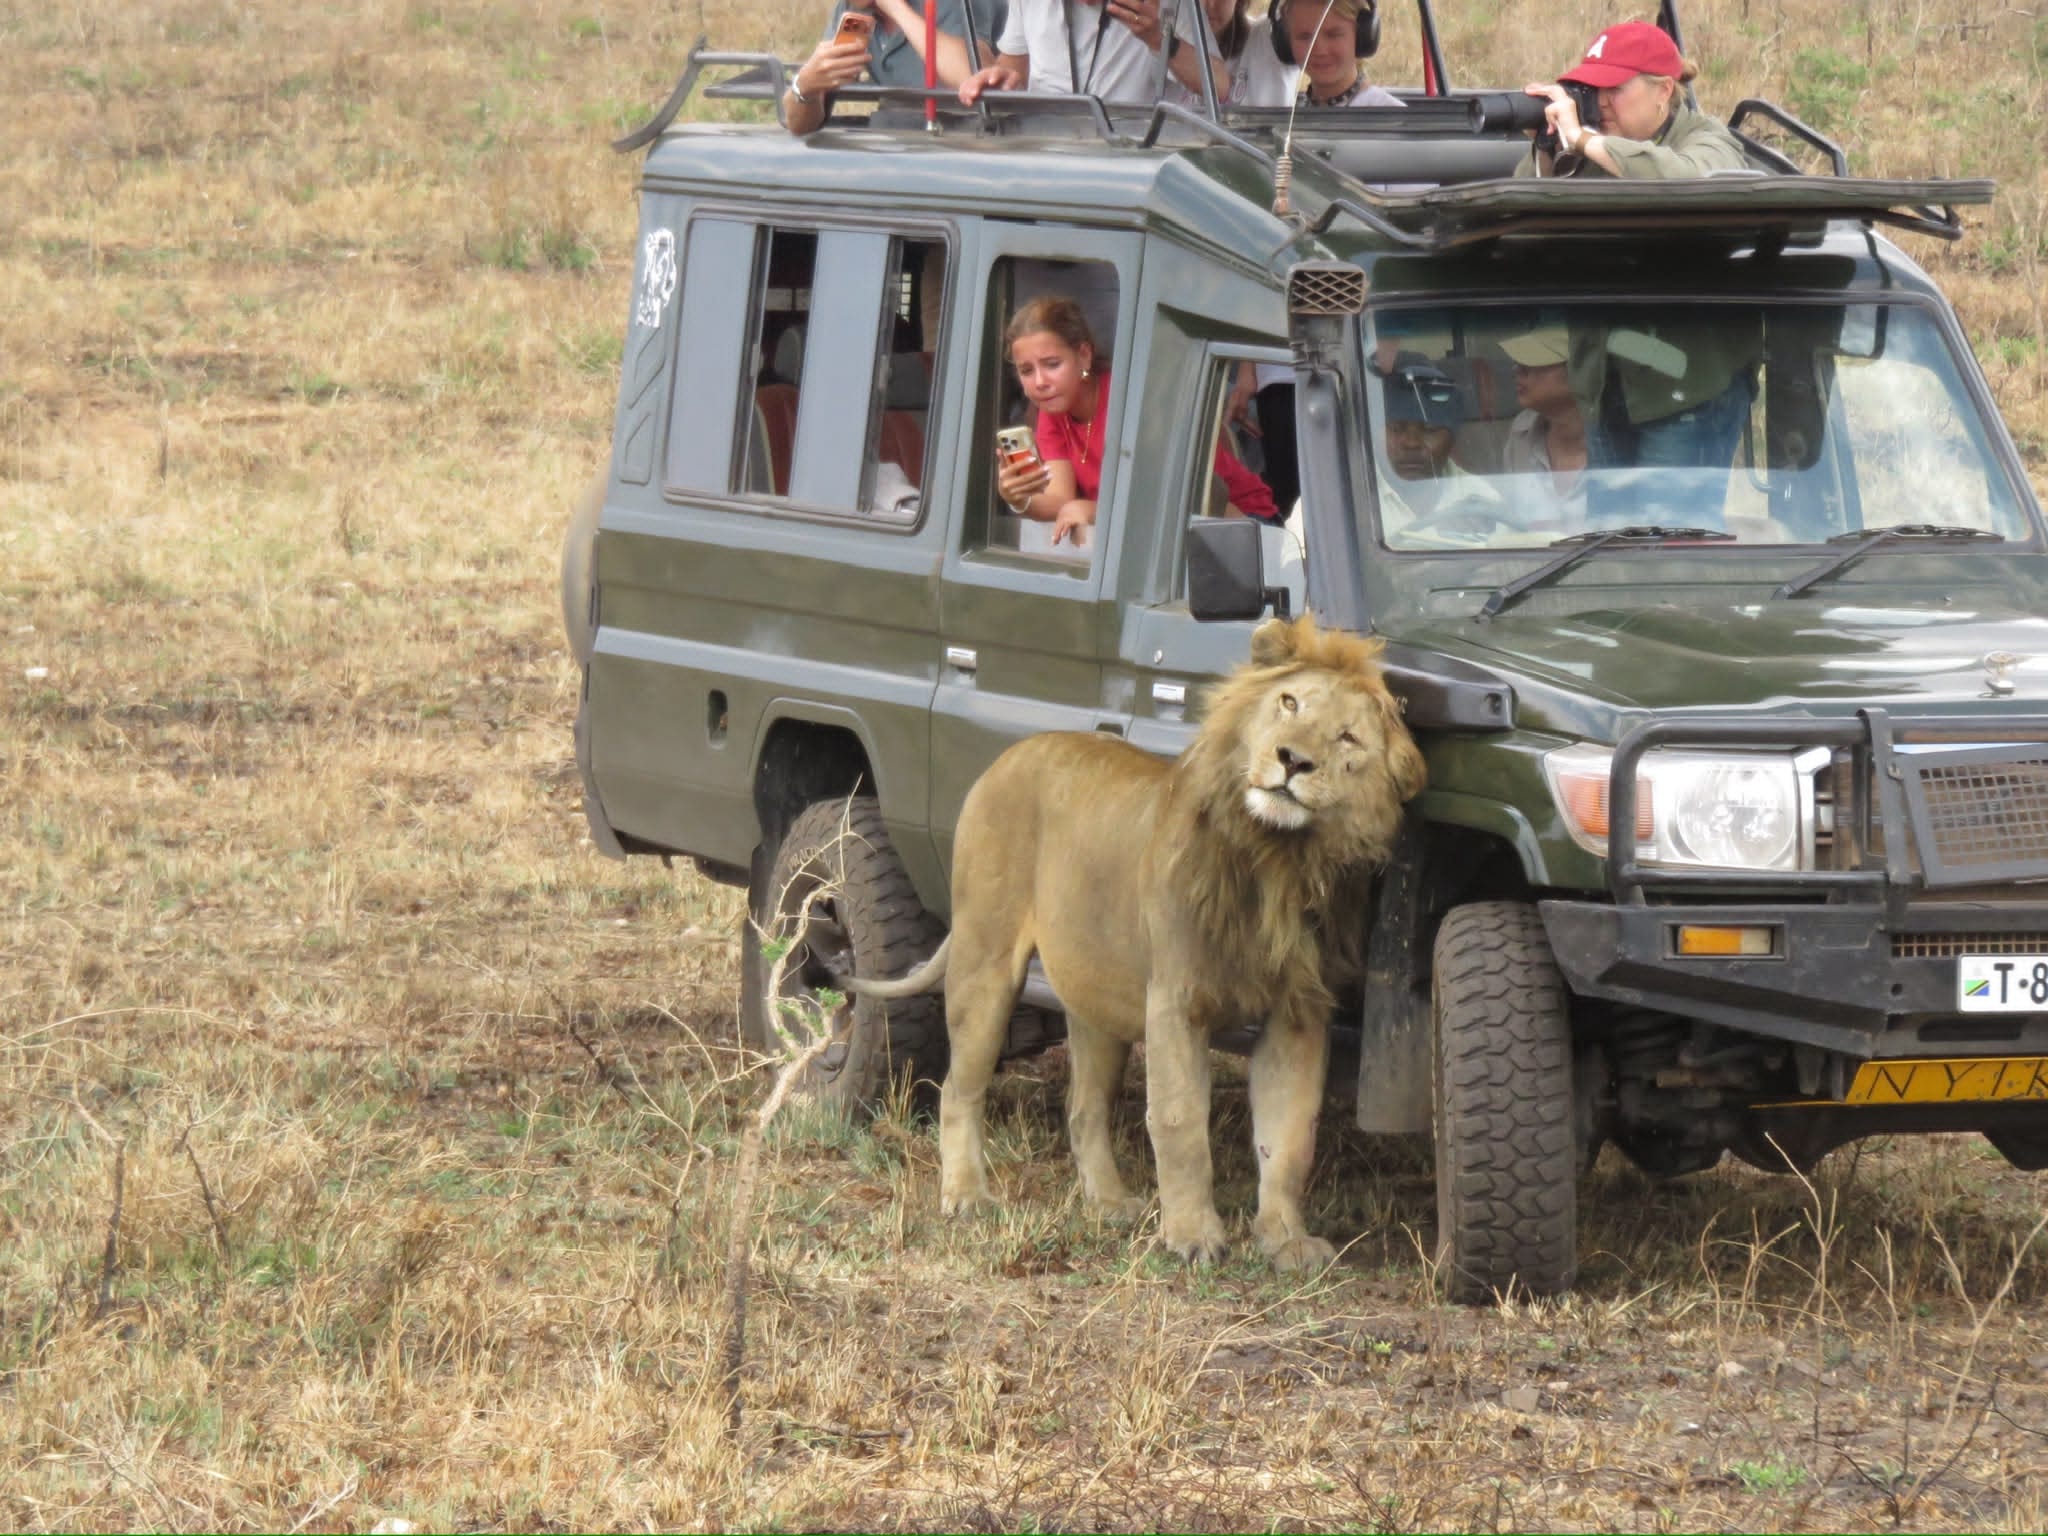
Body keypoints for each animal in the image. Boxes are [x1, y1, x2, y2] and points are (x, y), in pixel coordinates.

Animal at [845, 613, 1427, 1271]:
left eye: (1348, 738)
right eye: (1289, 702)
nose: (1293, 760)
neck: (1277, 859)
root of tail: (1011, 753)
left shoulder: (1297, 1013)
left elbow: (1289, 1136)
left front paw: (1284, 1239)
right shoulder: (1176, 999)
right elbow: (1179, 1121)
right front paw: (1192, 1235)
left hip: (1096, 999)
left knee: (1083, 1110)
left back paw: (1108, 1203)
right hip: (984, 961)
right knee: (958, 1088)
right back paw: (967, 1195)